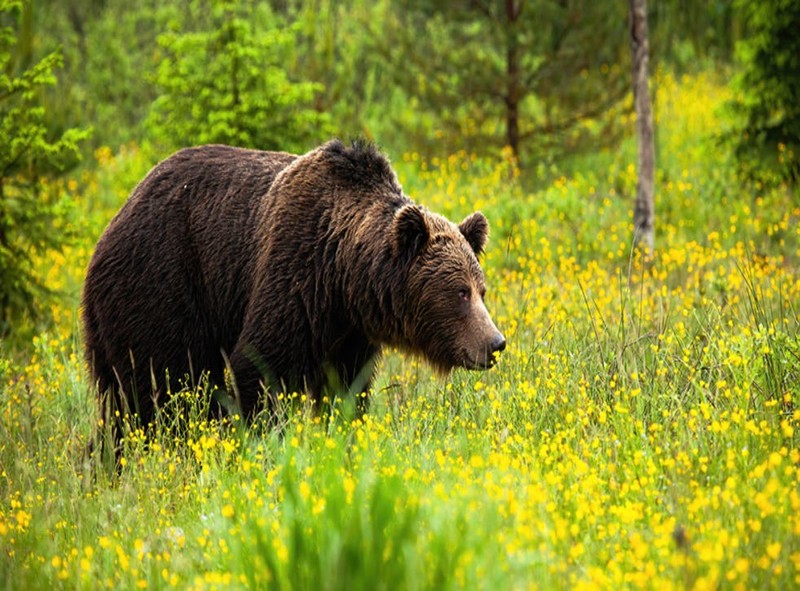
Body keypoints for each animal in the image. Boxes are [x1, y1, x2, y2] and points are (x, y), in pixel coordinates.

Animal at [83, 140, 506, 440]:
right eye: (459, 292)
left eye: (481, 289)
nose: (495, 342)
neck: (343, 278)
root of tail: (113, 223)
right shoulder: (293, 277)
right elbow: (260, 367)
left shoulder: (347, 335)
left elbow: (346, 391)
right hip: (162, 289)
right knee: (158, 391)